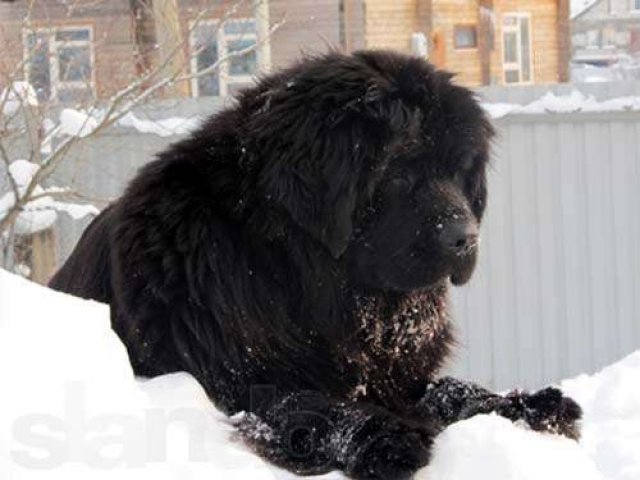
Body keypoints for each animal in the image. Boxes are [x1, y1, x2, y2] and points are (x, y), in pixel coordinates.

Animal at [50, 50, 580, 478]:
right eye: (399, 172)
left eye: (460, 172)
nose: (466, 238)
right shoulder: (233, 378)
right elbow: (305, 403)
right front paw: (382, 436)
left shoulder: (396, 373)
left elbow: (451, 389)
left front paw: (526, 405)